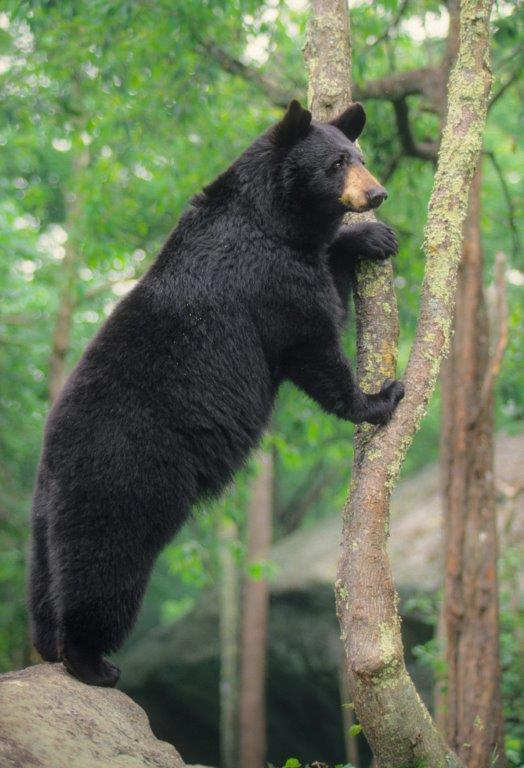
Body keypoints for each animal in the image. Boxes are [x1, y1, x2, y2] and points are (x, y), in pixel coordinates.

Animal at [28, 100, 404, 687]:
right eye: (337, 164)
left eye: (359, 157)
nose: (377, 194)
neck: (269, 215)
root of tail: (55, 455)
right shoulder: (266, 276)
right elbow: (312, 342)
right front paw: (380, 398)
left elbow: (328, 283)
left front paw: (370, 239)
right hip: (127, 472)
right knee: (107, 562)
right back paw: (92, 662)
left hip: (46, 508)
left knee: (46, 569)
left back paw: (48, 645)